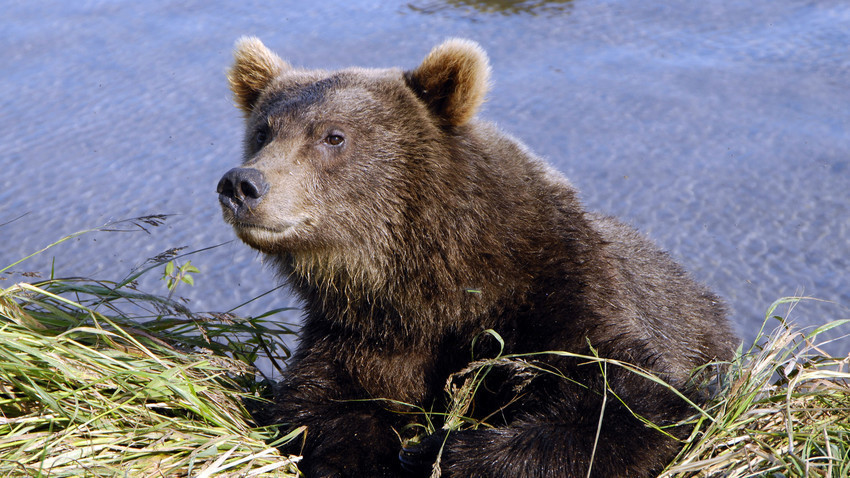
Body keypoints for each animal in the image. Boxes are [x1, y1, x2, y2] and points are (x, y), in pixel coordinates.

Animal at [217, 37, 736, 478]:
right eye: (263, 132)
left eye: (333, 136)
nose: (242, 184)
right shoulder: (359, 332)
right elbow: (320, 406)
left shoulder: (562, 293)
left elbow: (632, 403)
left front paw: (435, 451)